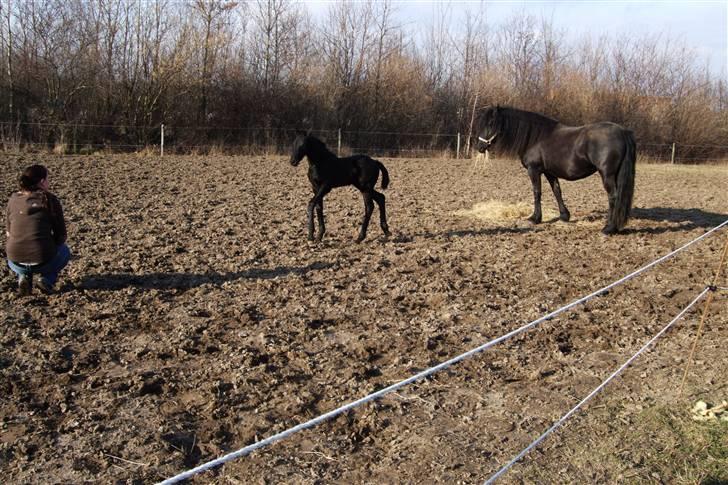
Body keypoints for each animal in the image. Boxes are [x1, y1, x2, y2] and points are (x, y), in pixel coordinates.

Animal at [474, 106, 636, 234]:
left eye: (490, 123)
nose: (479, 147)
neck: (535, 138)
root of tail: (622, 132)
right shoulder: (549, 172)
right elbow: (557, 191)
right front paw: (564, 216)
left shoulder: (534, 170)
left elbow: (537, 192)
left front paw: (535, 218)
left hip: (607, 174)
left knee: (613, 197)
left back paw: (609, 228)